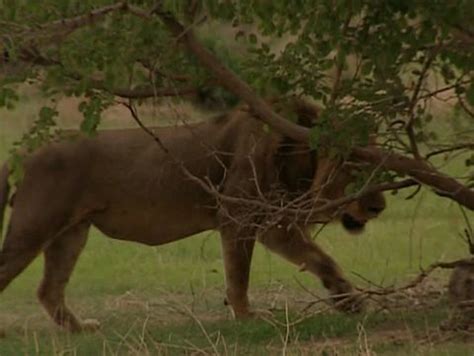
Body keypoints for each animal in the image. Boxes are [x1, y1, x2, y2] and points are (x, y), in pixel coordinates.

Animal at [0, 99, 386, 330]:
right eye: (355, 168)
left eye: (377, 164)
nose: (379, 207)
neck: (298, 157)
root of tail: (27, 149)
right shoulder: (238, 217)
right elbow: (239, 275)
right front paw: (248, 317)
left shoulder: (276, 224)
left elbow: (321, 258)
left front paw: (349, 301)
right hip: (33, 227)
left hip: (71, 234)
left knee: (49, 289)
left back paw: (81, 329)